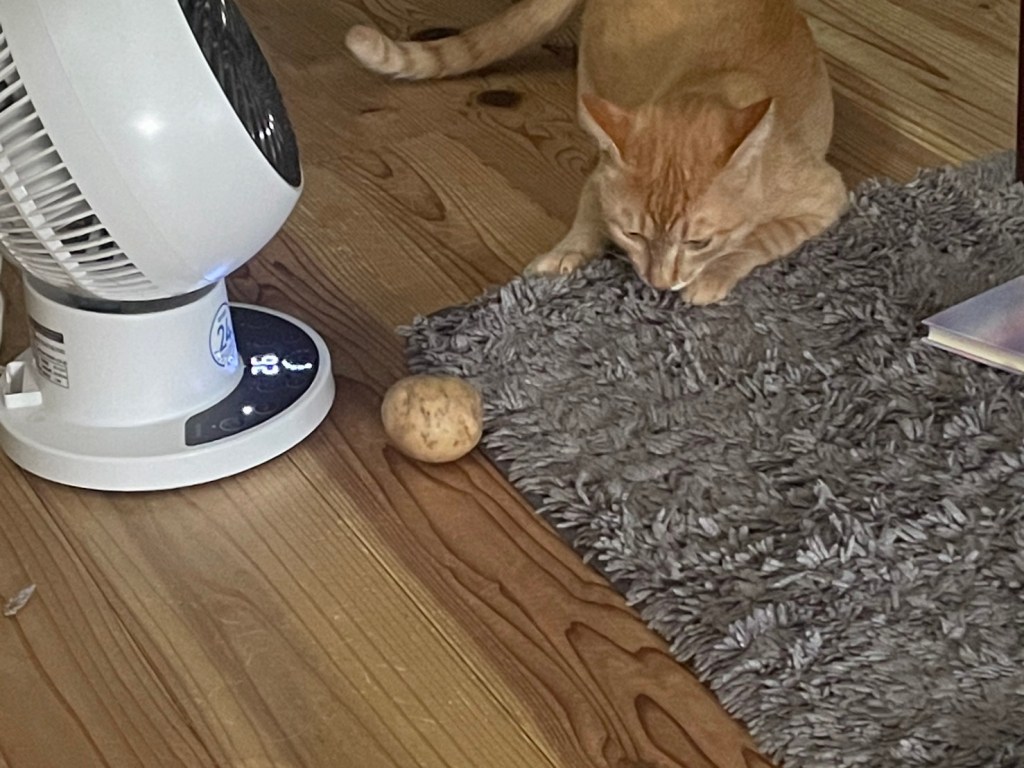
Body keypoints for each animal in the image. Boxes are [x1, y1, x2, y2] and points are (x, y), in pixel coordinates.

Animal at [346, 0, 847, 305]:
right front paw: (569, 251)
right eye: (634, 234)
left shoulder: (828, 197)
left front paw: (713, 274)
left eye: (698, 242)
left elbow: (759, 240)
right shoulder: (601, 173)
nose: (658, 282)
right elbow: (588, 211)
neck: (709, 85)